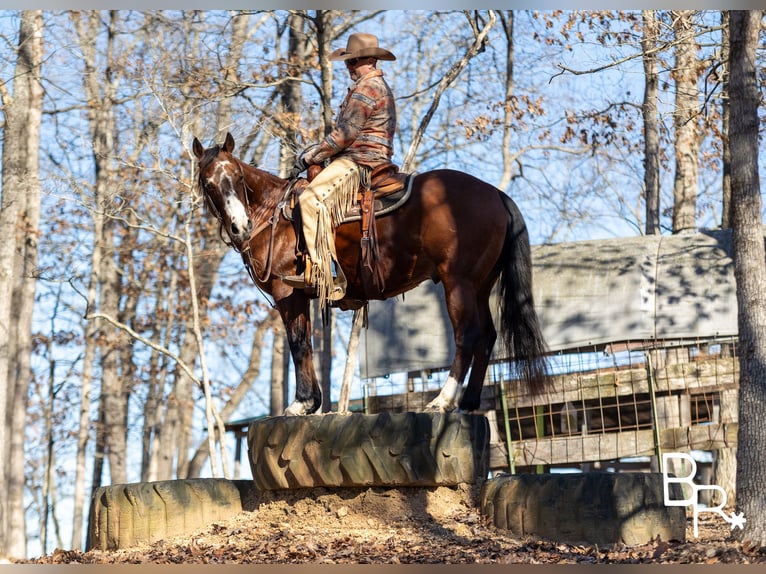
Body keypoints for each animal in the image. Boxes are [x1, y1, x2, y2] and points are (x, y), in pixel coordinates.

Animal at [195, 133, 548, 416]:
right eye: (209, 183)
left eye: (238, 176)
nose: (240, 227)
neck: (274, 215)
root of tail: (495, 194)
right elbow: (304, 342)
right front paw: (311, 402)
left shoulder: (288, 293)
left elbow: (299, 343)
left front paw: (302, 403)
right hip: (479, 286)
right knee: (487, 337)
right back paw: (469, 403)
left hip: (458, 284)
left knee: (468, 335)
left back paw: (442, 401)